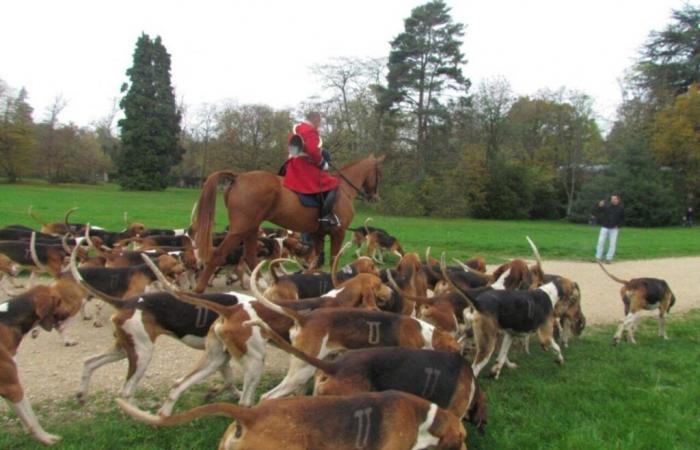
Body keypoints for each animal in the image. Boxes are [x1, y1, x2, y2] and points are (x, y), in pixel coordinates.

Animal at [191, 155, 386, 294]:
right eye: (379, 173)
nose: (376, 198)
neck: (344, 189)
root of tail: (238, 177)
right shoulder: (338, 232)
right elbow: (332, 261)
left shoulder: (318, 235)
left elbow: (316, 263)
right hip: (240, 229)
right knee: (218, 255)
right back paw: (199, 288)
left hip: (251, 228)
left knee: (250, 257)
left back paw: (261, 284)